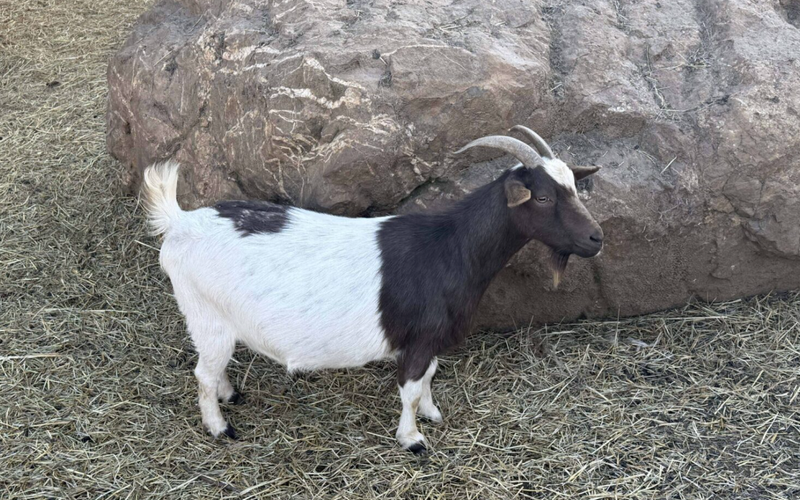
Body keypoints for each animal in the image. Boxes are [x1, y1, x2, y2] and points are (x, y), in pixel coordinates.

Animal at [141, 126, 603, 454]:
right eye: (542, 198)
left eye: (574, 187)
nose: (596, 238)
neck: (448, 247)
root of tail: (179, 221)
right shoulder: (419, 339)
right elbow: (410, 389)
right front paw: (412, 439)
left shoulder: (429, 341)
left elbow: (429, 377)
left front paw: (433, 414)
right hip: (206, 316)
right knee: (203, 373)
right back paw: (220, 427)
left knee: (213, 368)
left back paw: (231, 394)